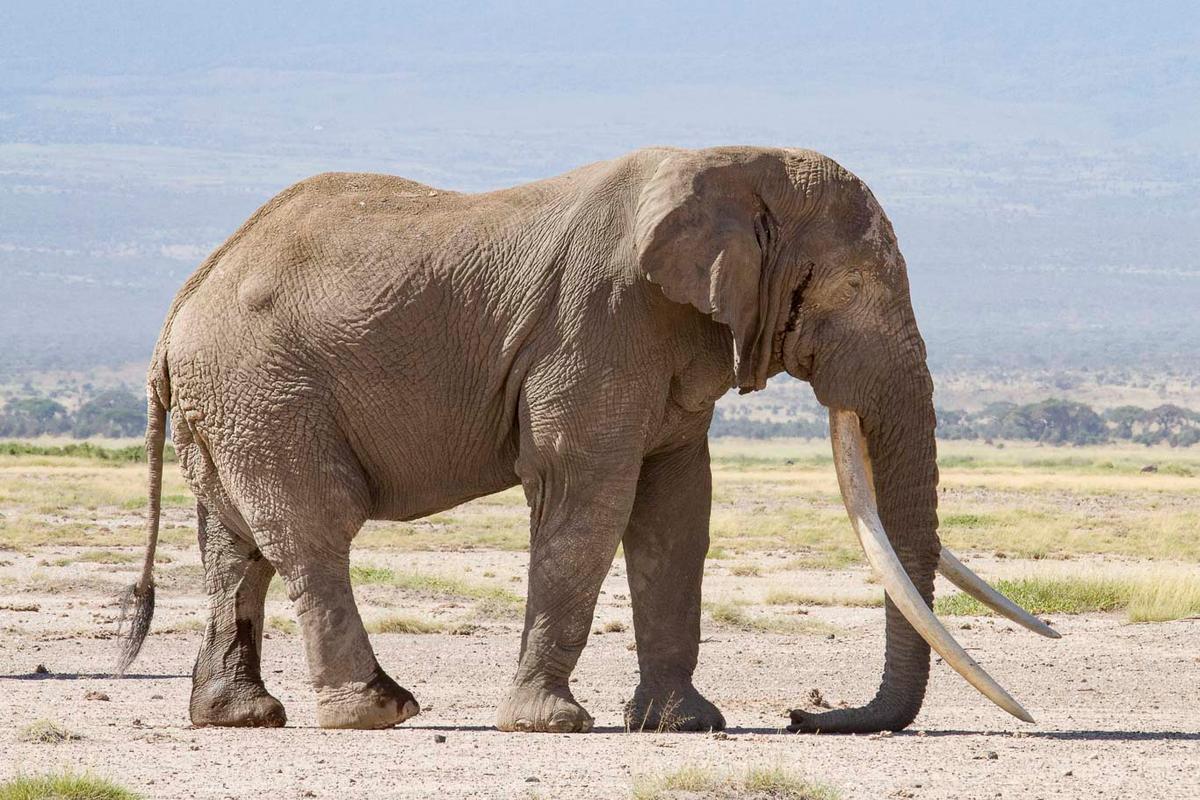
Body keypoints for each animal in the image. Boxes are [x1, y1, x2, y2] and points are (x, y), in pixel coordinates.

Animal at [116, 146, 1057, 733]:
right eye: (847, 287)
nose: (807, 713)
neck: (732, 164)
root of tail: (182, 300)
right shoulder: (599, 324)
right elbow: (589, 498)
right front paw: (552, 725)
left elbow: (677, 510)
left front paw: (684, 726)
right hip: (264, 388)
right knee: (314, 532)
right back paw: (377, 712)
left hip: (230, 403)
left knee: (235, 547)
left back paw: (240, 717)